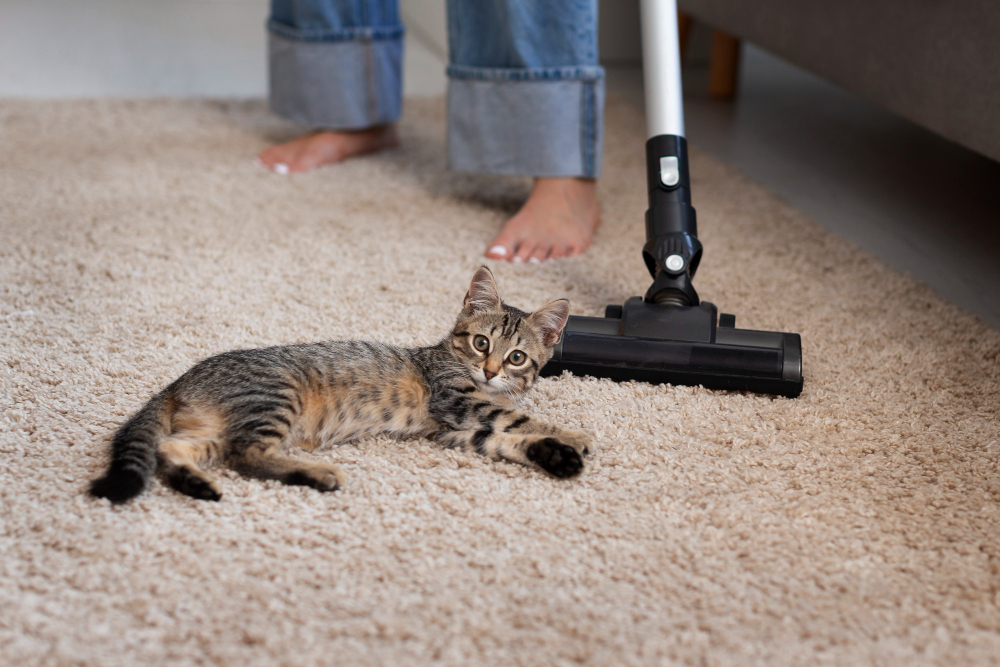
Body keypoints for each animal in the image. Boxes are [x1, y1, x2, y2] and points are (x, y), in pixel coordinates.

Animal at [88, 268, 592, 504]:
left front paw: (555, 453)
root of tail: (182, 379)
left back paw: (195, 482)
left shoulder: (451, 431)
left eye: (517, 357)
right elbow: (517, 417)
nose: (489, 371)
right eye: (481, 342)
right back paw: (318, 475)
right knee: (247, 454)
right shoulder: (455, 399)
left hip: (210, 432)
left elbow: (504, 437)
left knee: (174, 450)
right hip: (276, 396)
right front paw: (574, 435)